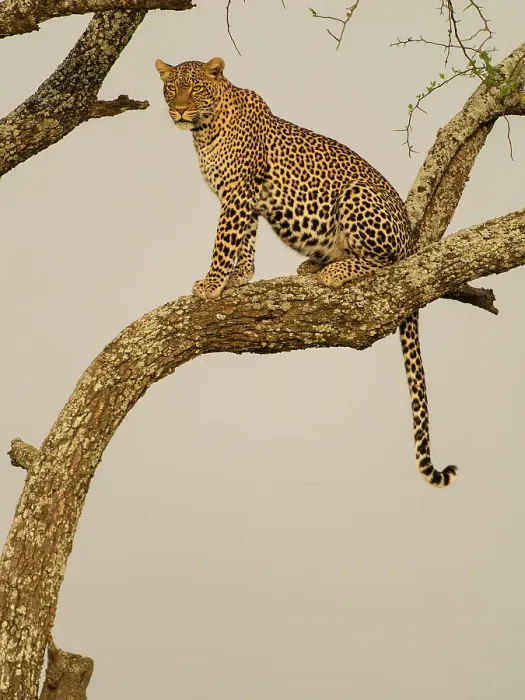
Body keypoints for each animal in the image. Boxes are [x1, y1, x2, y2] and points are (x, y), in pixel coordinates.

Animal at [155, 56, 457, 488]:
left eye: (195, 88)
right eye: (170, 88)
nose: (178, 110)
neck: (204, 130)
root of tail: (413, 239)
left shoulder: (235, 194)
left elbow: (224, 241)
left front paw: (211, 284)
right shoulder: (247, 199)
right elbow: (245, 241)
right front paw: (239, 277)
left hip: (357, 196)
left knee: (386, 260)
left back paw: (334, 271)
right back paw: (314, 264)